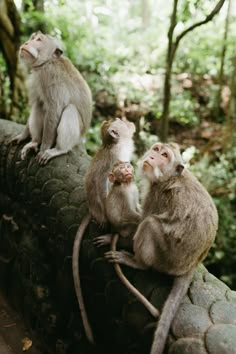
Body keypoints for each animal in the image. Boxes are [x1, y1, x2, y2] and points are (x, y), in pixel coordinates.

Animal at [9, 31, 92, 165]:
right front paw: (23, 135)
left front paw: (43, 149)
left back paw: (59, 149)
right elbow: (37, 102)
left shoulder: (51, 76)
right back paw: (35, 141)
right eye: (32, 38)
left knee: (70, 109)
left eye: (39, 40)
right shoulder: (37, 77)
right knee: (39, 104)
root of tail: (81, 139)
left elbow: (54, 111)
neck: (47, 62)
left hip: (76, 137)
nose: (26, 43)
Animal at [106, 142, 218, 354]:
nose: (152, 157)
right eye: (156, 149)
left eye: (164, 155)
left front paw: (114, 237)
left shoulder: (156, 194)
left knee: (149, 224)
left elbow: (142, 219)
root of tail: (191, 265)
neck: (170, 177)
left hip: (166, 259)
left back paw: (137, 262)